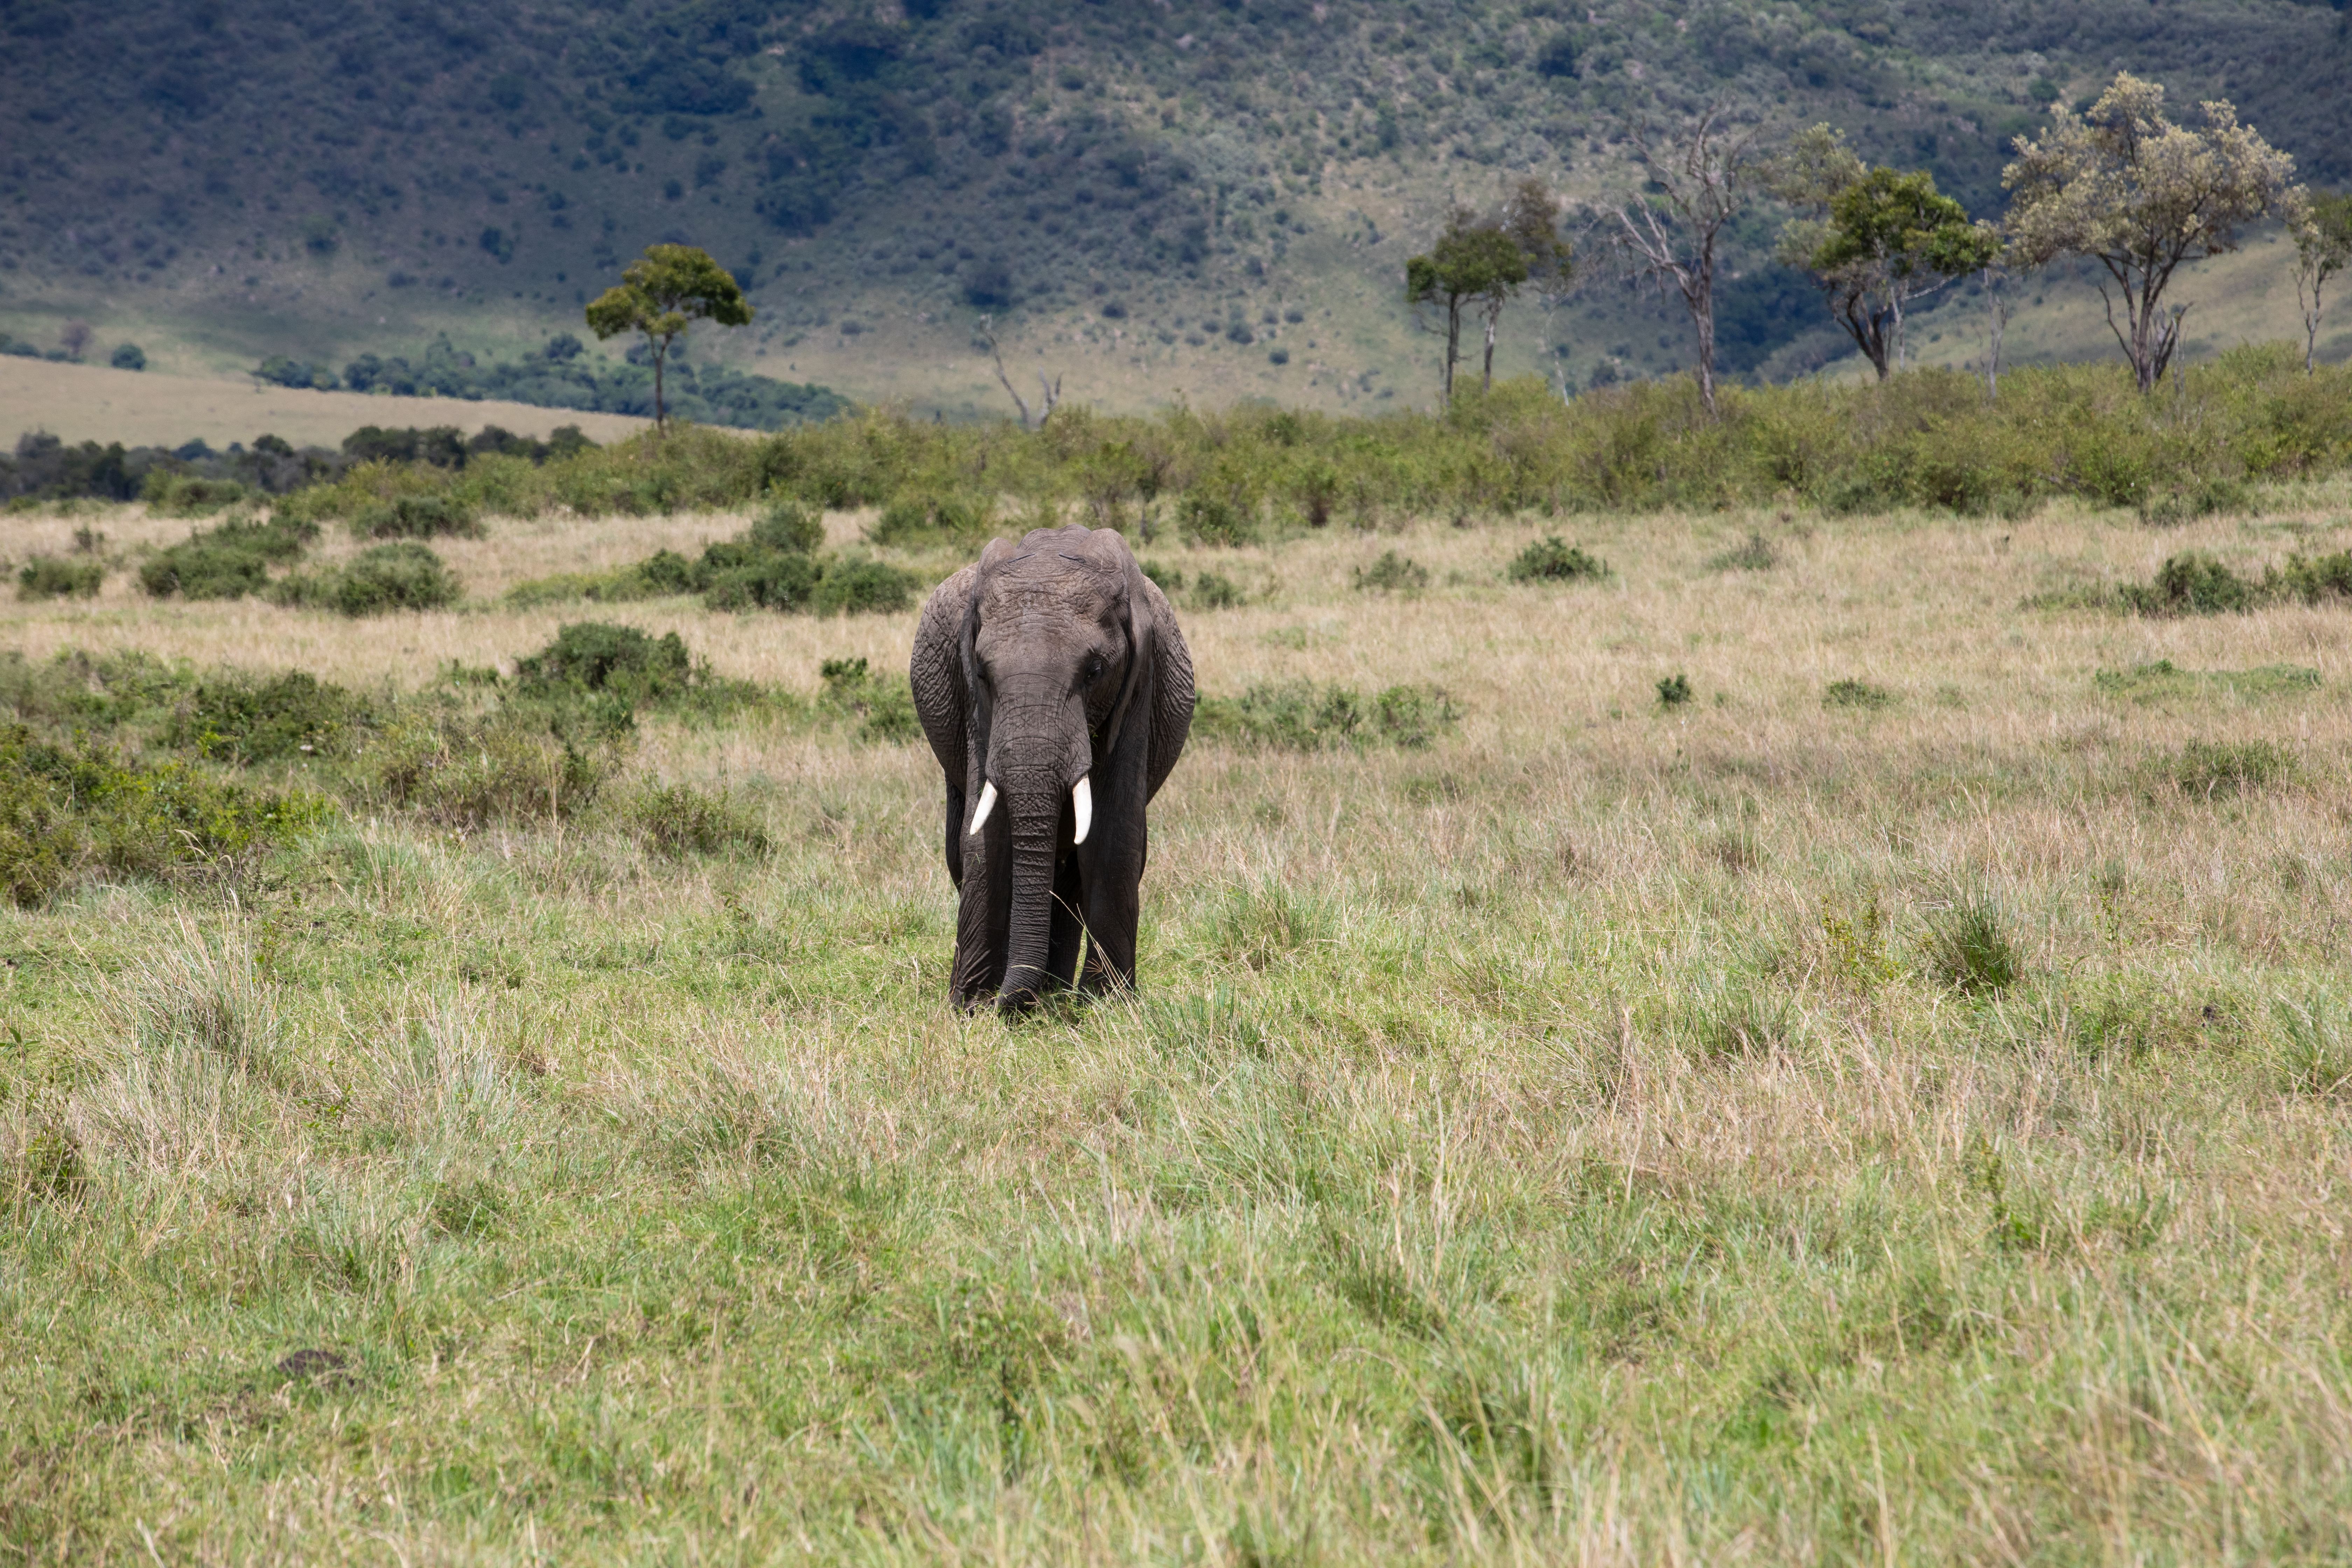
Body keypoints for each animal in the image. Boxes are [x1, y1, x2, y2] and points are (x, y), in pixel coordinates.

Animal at [909, 523, 1195, 1011]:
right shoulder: (977, 708)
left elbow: (1113, 834)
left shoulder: (1141, 684)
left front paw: (1106, 1005)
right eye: (982, 674)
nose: (1005, 1003)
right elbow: (986, 836)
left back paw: (1056, 992)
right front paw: (969, 1006)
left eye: (1095, 671)